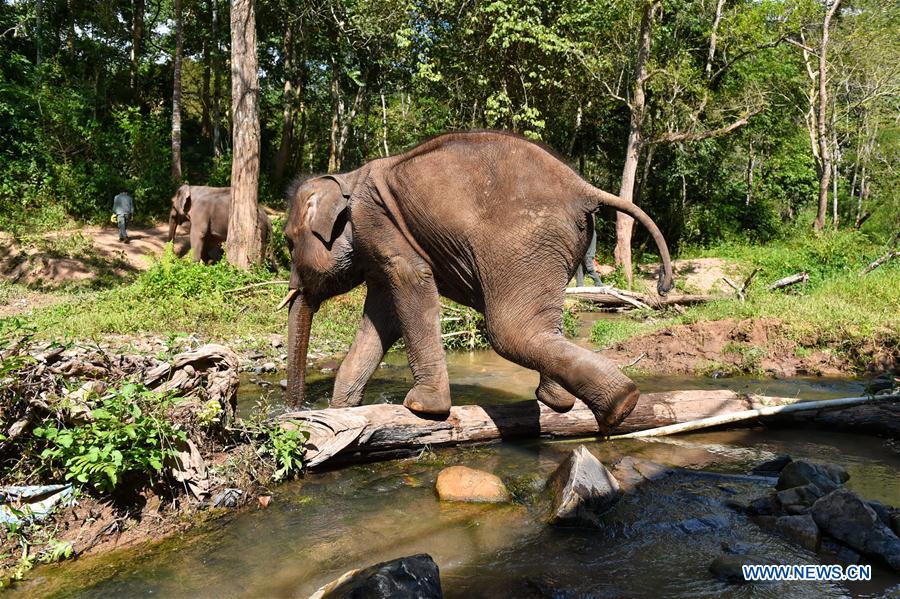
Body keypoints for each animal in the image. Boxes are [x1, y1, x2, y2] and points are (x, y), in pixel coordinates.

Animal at [280, 131, 674, 431]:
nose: (294, 412)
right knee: (537, 326)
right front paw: (342, 410)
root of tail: (584, 188)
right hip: (554, 247)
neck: (347, 178)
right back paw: (565, 402)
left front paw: (422, 408)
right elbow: (383, 314)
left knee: (510, 332)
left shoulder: (377, 224)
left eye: (287, 242)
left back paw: (620, 404)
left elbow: (411, 282)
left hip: (524, 242)